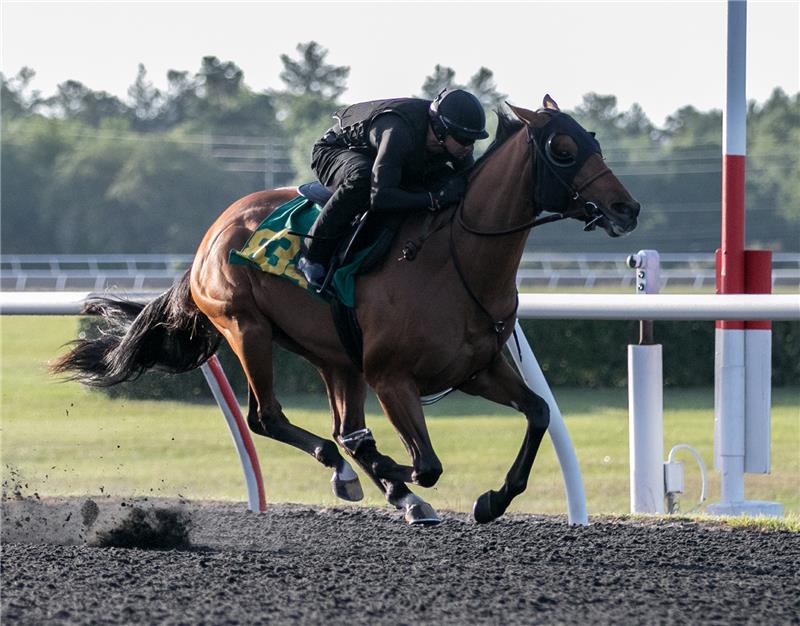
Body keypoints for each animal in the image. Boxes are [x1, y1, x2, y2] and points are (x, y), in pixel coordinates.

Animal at [53, 96, 640, 520]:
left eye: (593, 140)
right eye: (562, 148)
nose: (626, 207)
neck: (455, 261)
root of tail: (210, 236)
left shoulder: (479, 368)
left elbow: (538, 412)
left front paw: (492, 500)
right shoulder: (391, 377)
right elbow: (426, 463)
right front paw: (395, 471)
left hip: (334, 356)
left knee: (339, 428)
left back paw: (381, 484)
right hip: (247, 328)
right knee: (270, 418)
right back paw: (355, 471)